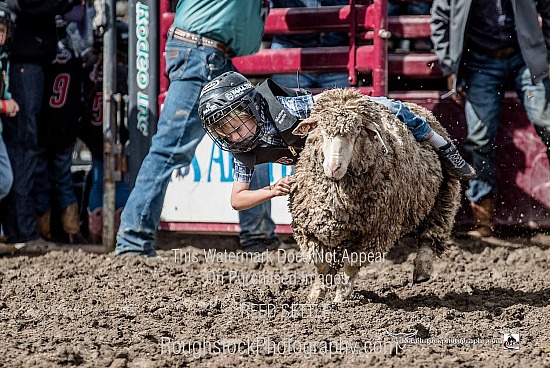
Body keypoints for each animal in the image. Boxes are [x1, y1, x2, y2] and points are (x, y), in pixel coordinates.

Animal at [292, 89, 464, 302]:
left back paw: (422, 270)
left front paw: (340, 298)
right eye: (321, 129)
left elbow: (351, 265)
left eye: (358, 129)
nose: (334, 167)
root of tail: (419, 106)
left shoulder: (375, 233)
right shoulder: (307, 227)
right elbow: (320, 262)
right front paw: (316, 295)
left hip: (443, 197)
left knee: (430, 235)